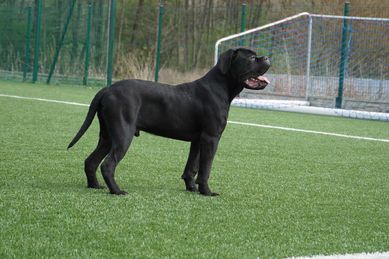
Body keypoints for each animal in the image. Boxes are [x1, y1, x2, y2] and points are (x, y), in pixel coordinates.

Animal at [67, 48, 270, 197]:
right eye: (252, 58)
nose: (268, 57)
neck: (222, 87)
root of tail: (107, 89)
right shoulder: (211, 138)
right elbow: (205, 169)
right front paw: (206, 192)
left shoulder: (198, 140)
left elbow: (191, 167)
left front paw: (192, 189)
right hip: (123, 134)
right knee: (107, 164)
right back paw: (117, 191)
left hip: (108, 136)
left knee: (91, 161)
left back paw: (95, 186)